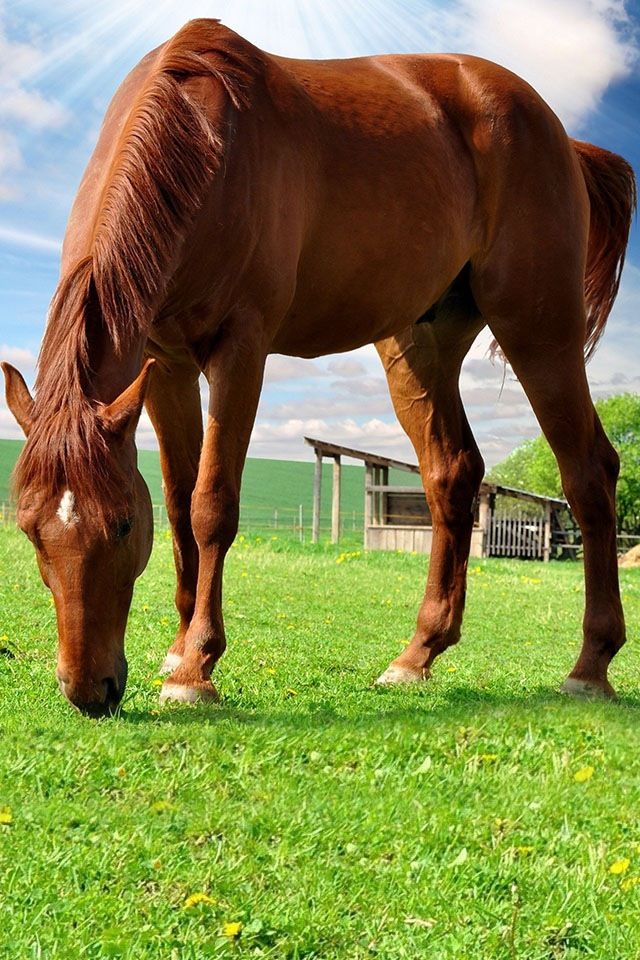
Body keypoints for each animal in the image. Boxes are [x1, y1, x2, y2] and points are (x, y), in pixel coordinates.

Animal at [2, 20, 636, 712]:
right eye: (31, 530)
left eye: (120, 525)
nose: (89, 691)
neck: (206, 145)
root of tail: (561, 136)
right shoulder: (164, 363)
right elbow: (176, 506)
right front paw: (177, 646)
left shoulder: (240, 350)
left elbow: (211, 505)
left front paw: (195, 667)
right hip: (419, 346)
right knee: (452, 474)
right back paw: (417, 655)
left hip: (538, 328)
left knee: (589, 472)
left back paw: (590, 665)